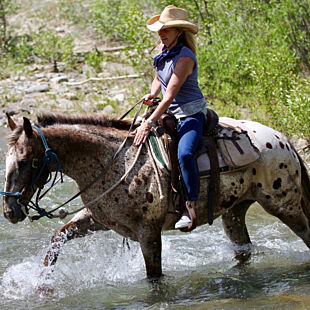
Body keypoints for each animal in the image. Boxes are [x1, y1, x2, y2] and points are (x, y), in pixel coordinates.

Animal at [1, 113, 310, 278]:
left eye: (26, 161)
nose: (9, 211)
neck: (113, 160)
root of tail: (282, 138)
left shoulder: (147, 232)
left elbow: (154, 277)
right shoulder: (99, 221)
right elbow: (57, 240)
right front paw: (43, 286)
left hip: (284, 205)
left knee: (305, 233)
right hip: (234, 213)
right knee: (243, 249)